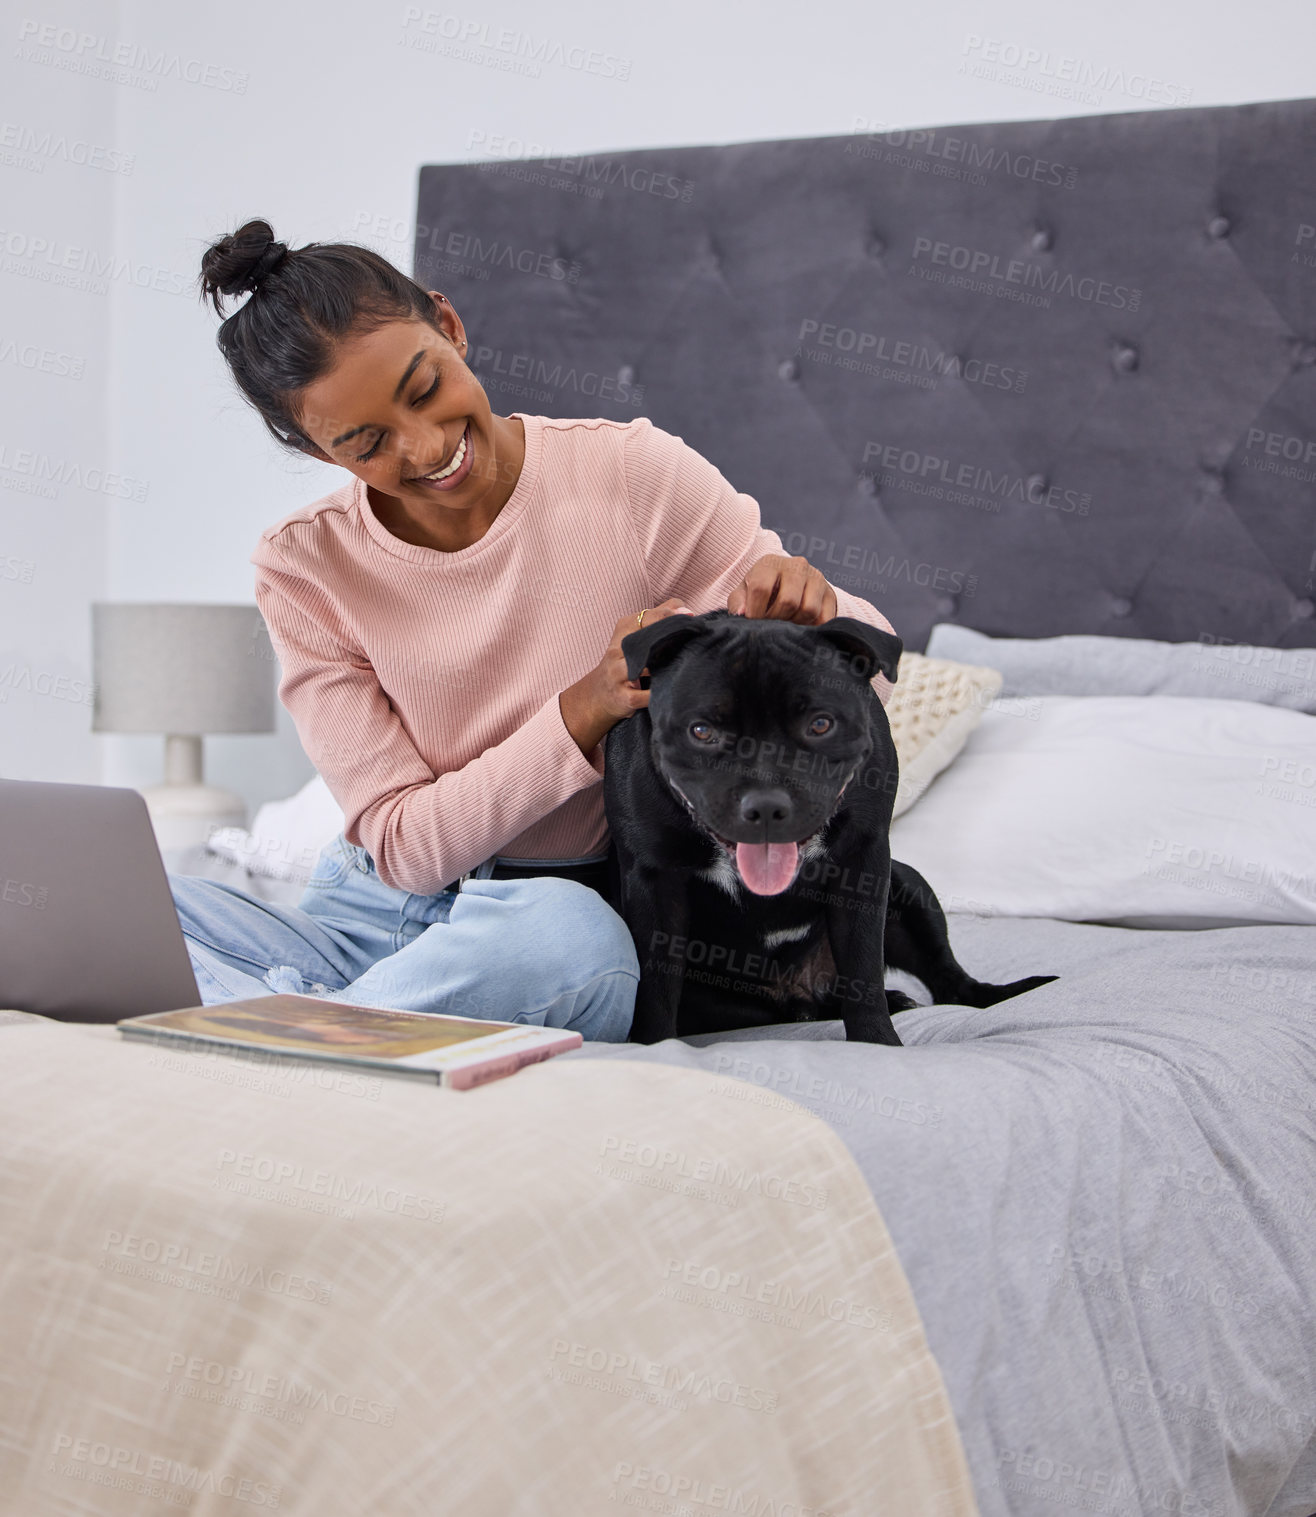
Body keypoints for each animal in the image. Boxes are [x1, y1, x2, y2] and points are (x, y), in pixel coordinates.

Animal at [600, 603, 1055, 1043]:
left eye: (821, 724)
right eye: (701, 731)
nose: (766, 805)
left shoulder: (863, 863)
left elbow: (863, 969)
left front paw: (878, 1043)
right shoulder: (653, 883)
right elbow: (656, 987)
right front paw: (654, 1048)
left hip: (908, 886)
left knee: (948, 980)